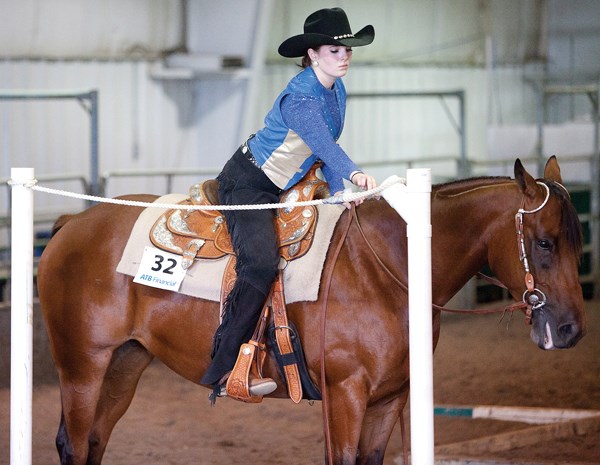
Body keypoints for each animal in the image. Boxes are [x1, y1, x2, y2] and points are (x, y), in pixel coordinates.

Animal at [37, 157, 584, 464]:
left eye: (577, 242)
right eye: (543, 243)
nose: (570, 330)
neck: (389, 266)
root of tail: (70, 224)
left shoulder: (391, 398)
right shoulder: (345, 395)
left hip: (125, 364)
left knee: (93, 443)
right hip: (83, 367)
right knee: (72, 443)